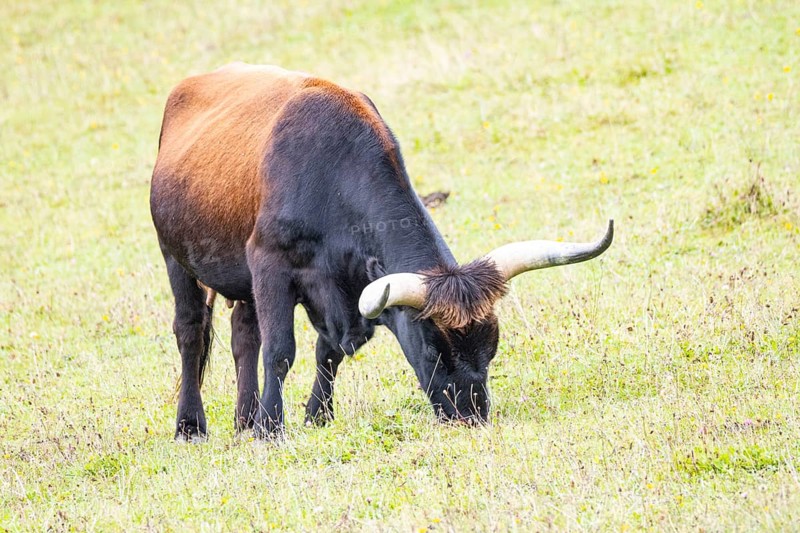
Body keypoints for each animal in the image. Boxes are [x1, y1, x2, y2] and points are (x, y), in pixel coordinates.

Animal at [150, 63, 613, 440]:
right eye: (433, 349)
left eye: (492, 346)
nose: (471, 415)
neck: (330, 172)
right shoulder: (270, 266)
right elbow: (280, 350)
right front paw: (271, 428)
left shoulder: (345, 291)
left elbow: (328, 352)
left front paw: (316, 416)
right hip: (175, 257)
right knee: (191, 332)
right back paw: (192, 426)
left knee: (243, 335)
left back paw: (244, 420)